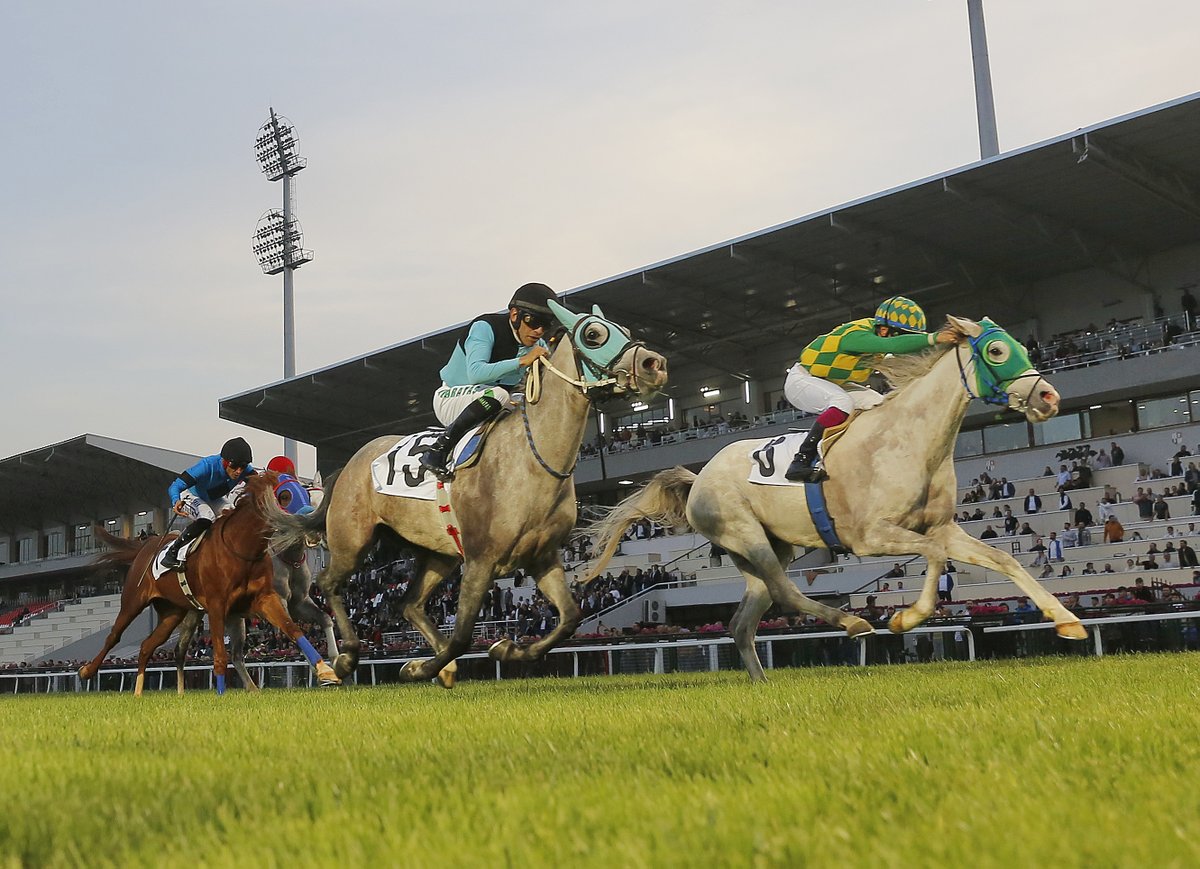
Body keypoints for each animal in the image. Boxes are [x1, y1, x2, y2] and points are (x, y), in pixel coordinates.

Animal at [80, 472, 340, 696]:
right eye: (286, 496)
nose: (320, 530)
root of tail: (146, 544)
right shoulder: (223, 606)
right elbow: (223, 653)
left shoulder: (281, 600)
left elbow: (303, 626)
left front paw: (329, 667)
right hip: (134, 602)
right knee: (115, 636)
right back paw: (87, 671)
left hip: (176, 613)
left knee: (153, 647)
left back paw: (145, 693)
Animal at [580, 316, 1089, 681]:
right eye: (997, 351)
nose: (1049, 397)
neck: (911, 439)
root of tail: (699, 476)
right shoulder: (871, 536)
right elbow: (933, 555)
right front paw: (906, 619)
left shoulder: (942, 526)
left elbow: (1003, 560)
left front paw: (1067, 621)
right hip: (745, 534)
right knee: (784, 593)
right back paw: (852, 624)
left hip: (769, 547)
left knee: (743, 620)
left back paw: (763, 682)